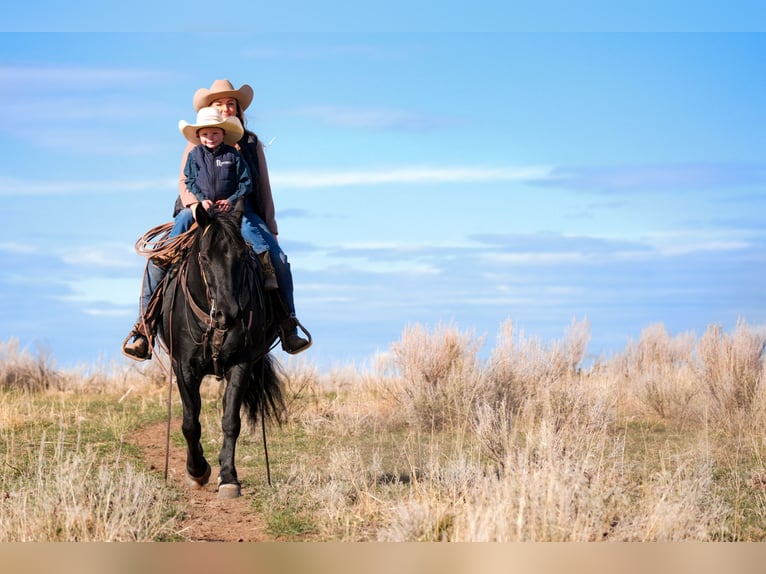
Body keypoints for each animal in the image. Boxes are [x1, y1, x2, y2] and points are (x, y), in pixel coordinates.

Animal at [156, 200, 284, 499]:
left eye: (242, 256)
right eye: (204, 257)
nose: (230, 314)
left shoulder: (241, 364)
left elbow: (230, 421)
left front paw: (228, 477)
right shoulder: (183, 368)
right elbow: (190, 422)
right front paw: (197, 470)